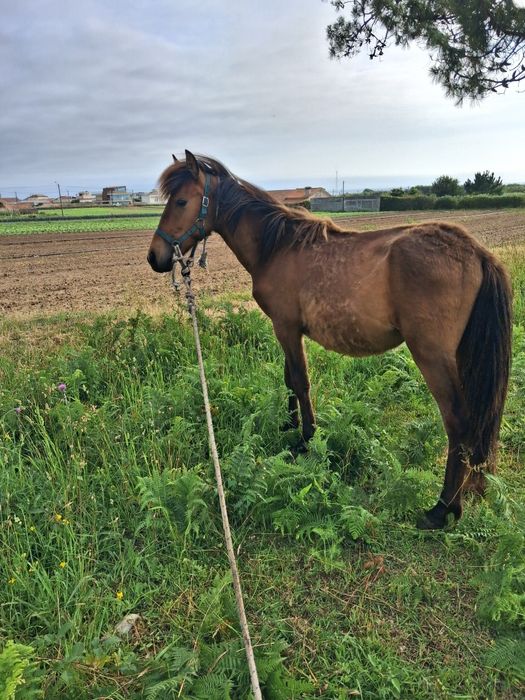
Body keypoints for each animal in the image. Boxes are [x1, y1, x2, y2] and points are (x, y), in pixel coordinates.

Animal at [147, 150, 512, 530]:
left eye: (181, 201)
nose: (154, 257)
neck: (277, 246)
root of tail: (475, 252)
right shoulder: (286, 329)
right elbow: (289, 381)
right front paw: (289, 428)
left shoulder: (286, 327)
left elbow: (300, 382)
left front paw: (307, 440)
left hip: (433, 357)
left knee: (458, 421)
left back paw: (443, 509)